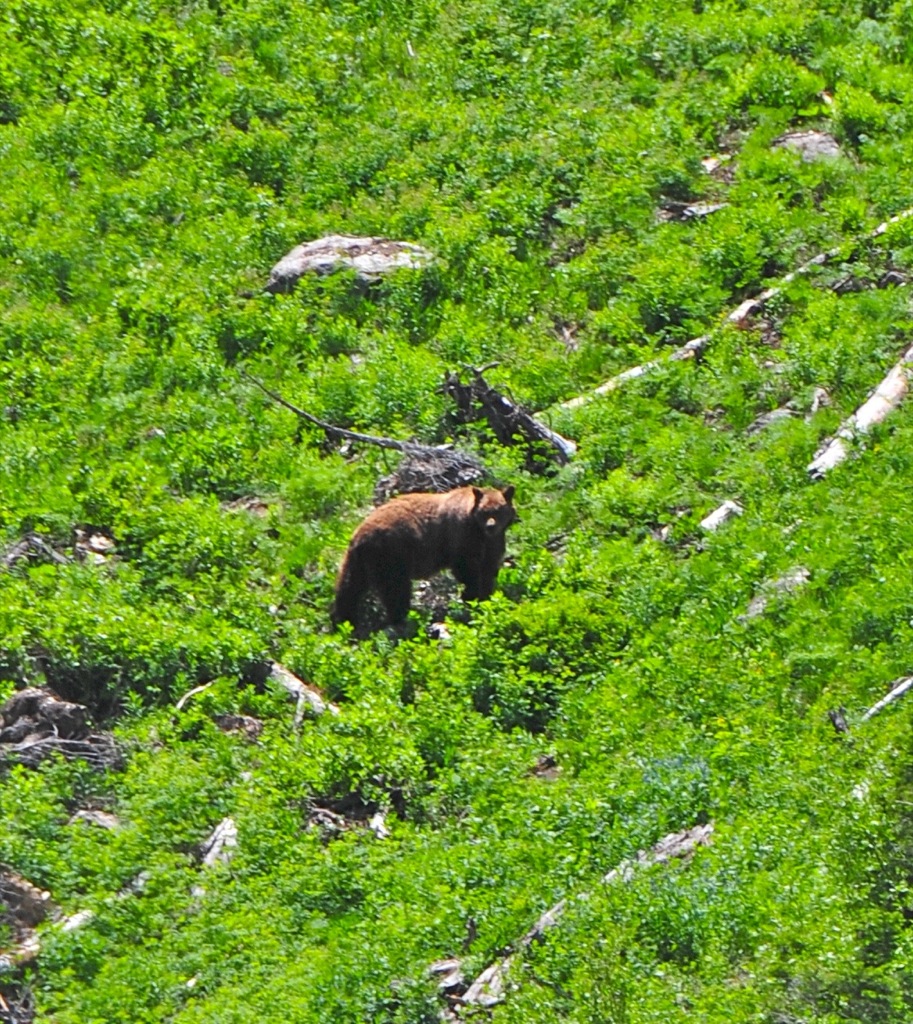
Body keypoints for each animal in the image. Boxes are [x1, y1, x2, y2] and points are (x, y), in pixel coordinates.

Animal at [333, 485, 517, 629]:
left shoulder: (493, 542)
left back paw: (343, 620)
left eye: (499, 510)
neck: (479, 530)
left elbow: (488, 568)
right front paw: (472, 595)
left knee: (349, 587)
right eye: (485, 511)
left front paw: (486, 597)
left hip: (358, 561)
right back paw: (401, 619)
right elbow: (466, 568)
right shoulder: (462, 536)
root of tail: (360, 537)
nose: (491, 526)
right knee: (395, 589)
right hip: (391, 557)